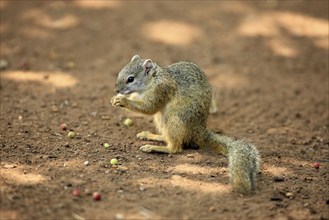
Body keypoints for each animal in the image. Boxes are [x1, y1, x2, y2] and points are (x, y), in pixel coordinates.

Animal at [111, 55, 260, 194]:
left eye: (131, 79)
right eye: (120, 73)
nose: (117, 90)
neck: (153, 79)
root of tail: (199, 130)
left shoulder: (161, 89)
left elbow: (149, 107)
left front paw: (123, 101)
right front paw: (117, 99)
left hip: (174, 119)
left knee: (176, 148)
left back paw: (155, 148)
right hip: (161, 119)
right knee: (168, 137)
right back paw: (152, 136)